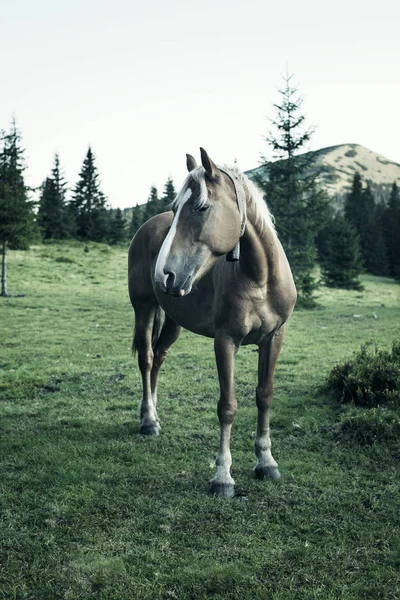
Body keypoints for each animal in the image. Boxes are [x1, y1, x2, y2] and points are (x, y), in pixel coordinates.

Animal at [128, 149, 296, 496]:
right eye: (175, 209)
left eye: (201, 207)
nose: (163, 274)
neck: (260, 278)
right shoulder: (226, 341)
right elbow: (227, 406)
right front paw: (223, 477)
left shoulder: (274, 338)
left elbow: (265, 395)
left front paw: (266, 461)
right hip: (144, 308)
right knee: (147, 359)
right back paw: (148, 420)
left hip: (174, 320)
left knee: (159, 357)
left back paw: (153, 415)